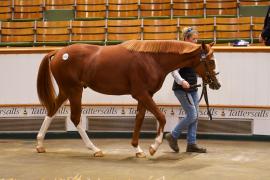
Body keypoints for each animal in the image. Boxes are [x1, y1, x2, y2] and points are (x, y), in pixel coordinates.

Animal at [35, 39, 220, 158]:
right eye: (211, 61)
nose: (216, 84)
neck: (152, 59)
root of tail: (59, 52)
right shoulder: (141, 93)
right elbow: (161, 117)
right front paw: (153, 147)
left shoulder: (146, 95)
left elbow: (139, 119)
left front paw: (137, 149)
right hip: (74, 90)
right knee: (75, 118)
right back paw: (95, 149)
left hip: (66, 90)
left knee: (52, 110)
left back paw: (40, 144)